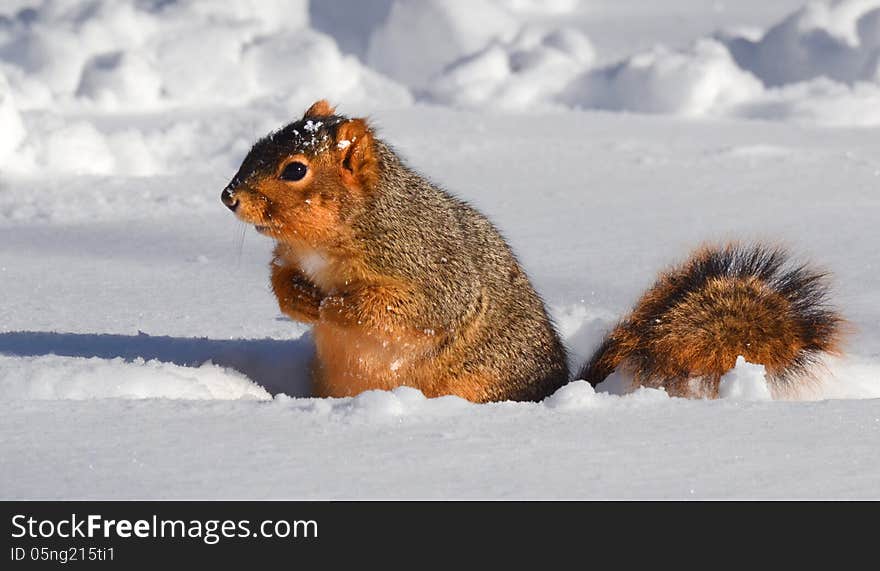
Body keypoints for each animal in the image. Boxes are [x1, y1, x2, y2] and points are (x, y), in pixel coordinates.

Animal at [222, 99, 844, 402]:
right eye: (255, 144)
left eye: (294, 169)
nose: (229, 196)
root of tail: (553, 392)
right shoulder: (289, 258)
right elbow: (281, 282)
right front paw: (300, 300)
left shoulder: (428, 268)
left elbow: (410, 312)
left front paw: (332, 306)